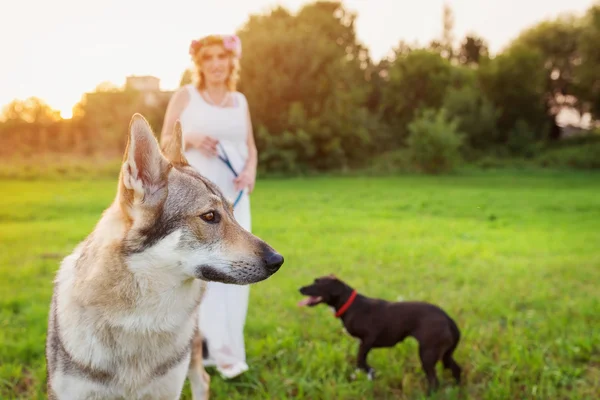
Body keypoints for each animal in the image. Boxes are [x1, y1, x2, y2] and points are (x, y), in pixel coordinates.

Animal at [298, 276, 462, 390]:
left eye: (318, 282)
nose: (300, 288)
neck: (350, 305)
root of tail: (447, 318)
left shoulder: (367, 340)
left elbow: (360, 361)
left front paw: (370, 373)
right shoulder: (362, 343)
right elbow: (361, 362)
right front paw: (367, 375)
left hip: (427, 353)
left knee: (434, 381)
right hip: (445, 353)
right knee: (456, 369)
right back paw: (457, 388)